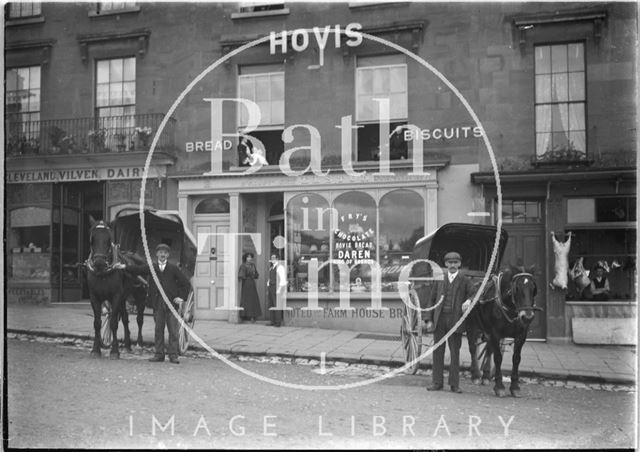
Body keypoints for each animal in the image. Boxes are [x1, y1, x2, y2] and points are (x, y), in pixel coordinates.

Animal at [464, 266, 540, 398]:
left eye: (533, 288)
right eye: (516, 288)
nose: (527, 317)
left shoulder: (521, 335)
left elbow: (516, 358)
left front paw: (515, 387)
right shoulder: (495, 334)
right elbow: (498, 358)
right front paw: (499, 386)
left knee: (488, 349)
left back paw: (486, 376)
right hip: (471, 327)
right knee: (473, 348)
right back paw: (476, 375)